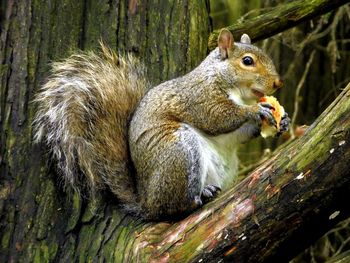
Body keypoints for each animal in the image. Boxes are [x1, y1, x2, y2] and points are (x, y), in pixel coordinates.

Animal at [34, 29, 288, 221]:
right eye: (247, 61)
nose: (278, 83)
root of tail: (145, 201)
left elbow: (237, 135)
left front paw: (281, 121)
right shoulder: (199, 97)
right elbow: (217, 118)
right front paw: (255, 112)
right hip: (178, 151)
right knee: (171, 208)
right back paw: (199, 197)